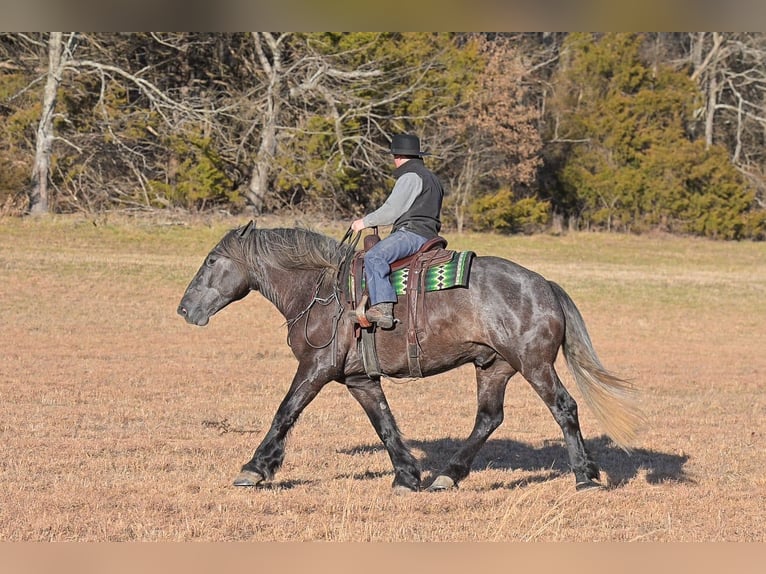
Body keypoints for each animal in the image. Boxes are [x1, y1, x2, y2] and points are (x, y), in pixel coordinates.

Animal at [177, 220, 643, 492]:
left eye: (212, 260)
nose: (184, 309)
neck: (319, 291)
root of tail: (544, 284)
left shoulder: (315, 369)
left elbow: (285, 412)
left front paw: (255, 468)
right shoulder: (360, 380)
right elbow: (384, 424)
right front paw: (406, 475)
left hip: (535, 366)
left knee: (564, 408)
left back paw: (585, 477)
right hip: (494, 367)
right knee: (488, 419)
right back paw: (447, 476)